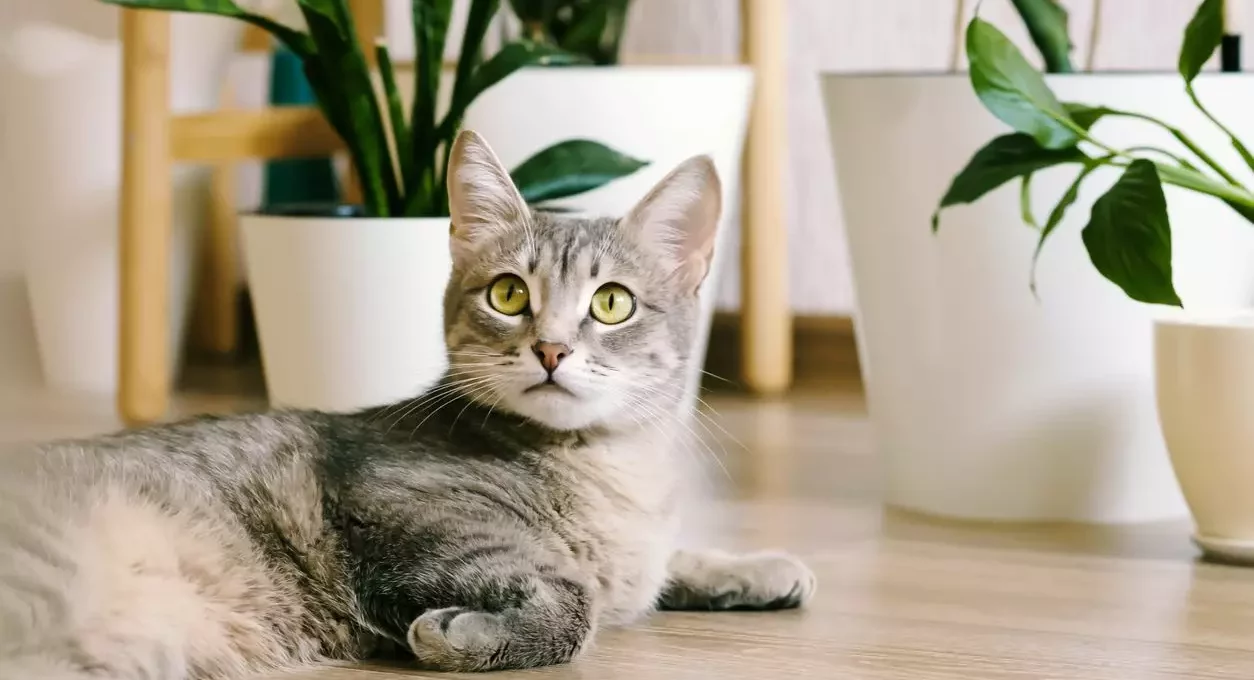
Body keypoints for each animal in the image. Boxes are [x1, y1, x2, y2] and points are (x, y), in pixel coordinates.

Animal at [0, 130, 812, 677]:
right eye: (509, 294)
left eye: (612, 303)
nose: (551, 349)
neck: (617, 473)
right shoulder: (407, 517)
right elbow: (572, 604)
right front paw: (461, 636)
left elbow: (661, 564)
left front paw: (755, 566)